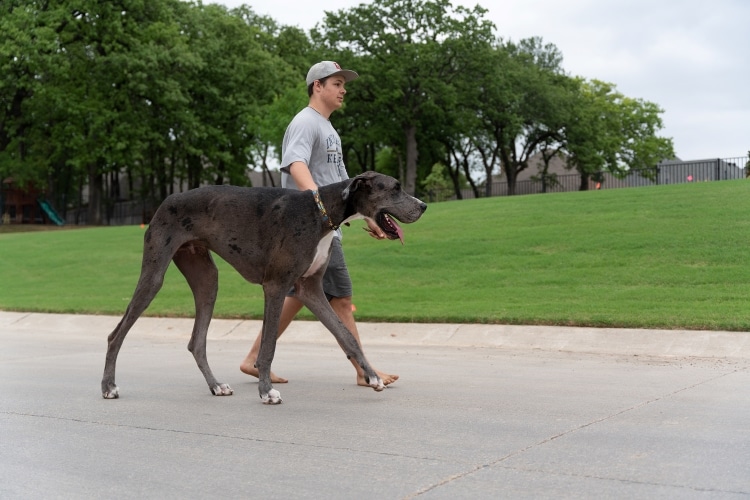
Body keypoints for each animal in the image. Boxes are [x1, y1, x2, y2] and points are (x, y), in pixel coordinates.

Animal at [101, 170, 428, 404]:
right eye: (395, 188)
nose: (424, 206)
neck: (321, 213)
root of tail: (167, 200)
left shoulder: (310, 290)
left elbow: (346, 335)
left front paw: (372, 378)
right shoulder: (276, 286)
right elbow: (268, 345)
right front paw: (266, 391)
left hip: (207, 279)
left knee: (197, 341)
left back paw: (216, 386)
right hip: (154, 276)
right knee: (116, 333)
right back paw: (108, 386)